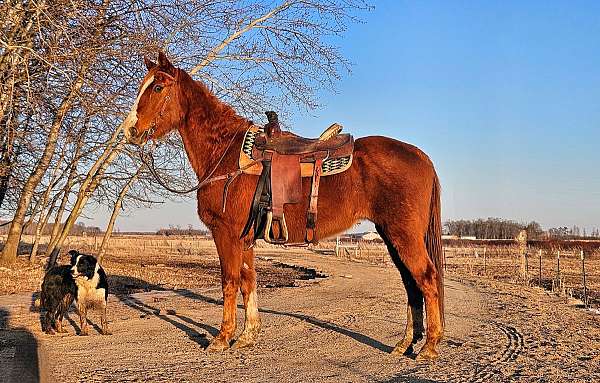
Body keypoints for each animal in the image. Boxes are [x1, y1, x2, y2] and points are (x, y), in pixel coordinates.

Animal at [122, 51, 442, 360]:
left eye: (158, 87)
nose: (129, 131)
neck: (225, 154)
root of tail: (421, 156)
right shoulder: (245, 239)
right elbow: (248, 280)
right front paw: (248, 336)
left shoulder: (225, 233)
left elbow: (229, 281)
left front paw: (222, 339)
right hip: (391, 236)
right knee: (411, 285)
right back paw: (405, 344)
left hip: (403, 235)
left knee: (426, 278)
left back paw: (429, 347)